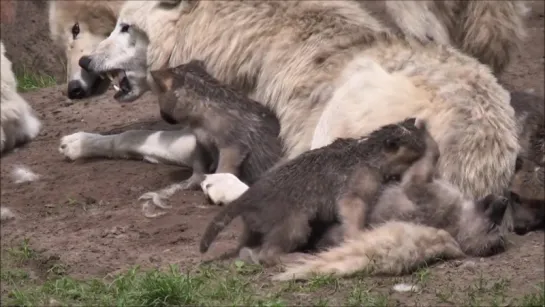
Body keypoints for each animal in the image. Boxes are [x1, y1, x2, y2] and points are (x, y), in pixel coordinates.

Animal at [68, 0, 520, 202]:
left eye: (125, 27)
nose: (85, 62)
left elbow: (146, 136)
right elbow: (138, 137)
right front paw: (81, 142)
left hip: (341, 110)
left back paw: (221, 186)